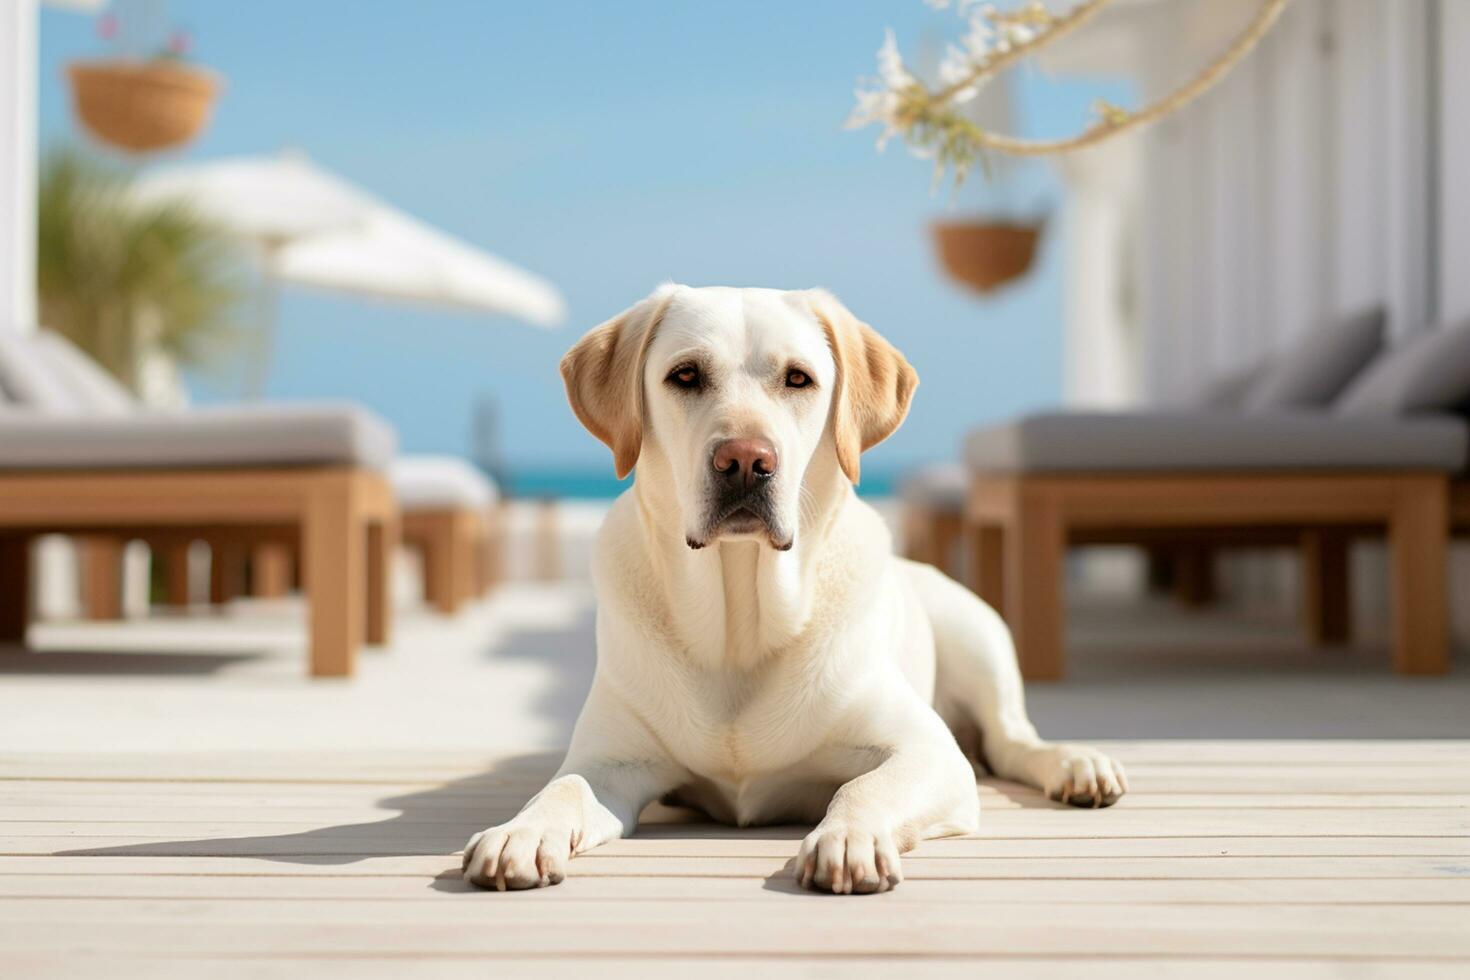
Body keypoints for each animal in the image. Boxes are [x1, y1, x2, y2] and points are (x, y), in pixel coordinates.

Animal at [461, 285, 1123, 899]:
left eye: (798, 378)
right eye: (685, 375)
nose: (745, 461)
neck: (739, 625)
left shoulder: (929, 751)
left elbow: (864, 784)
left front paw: (849, 836)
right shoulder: (610, 762)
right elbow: (564, 786)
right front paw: (521, 830)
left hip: (976, 632)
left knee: (1013, 740)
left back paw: (1078, 765)